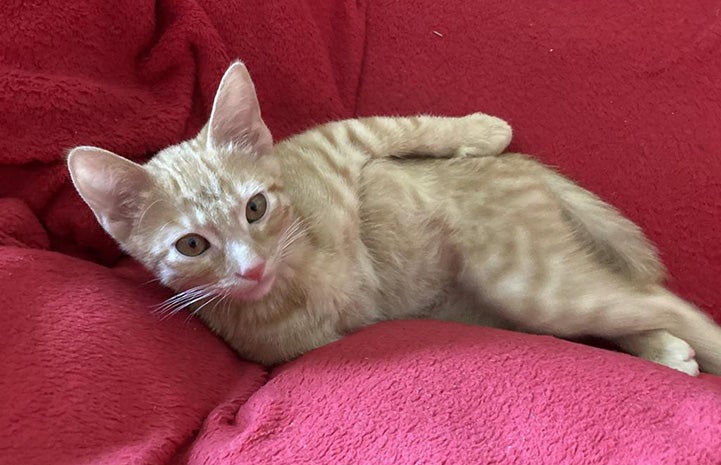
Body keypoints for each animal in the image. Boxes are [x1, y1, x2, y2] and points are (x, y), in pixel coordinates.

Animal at [67, 61, 720, 374]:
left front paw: (483, 128)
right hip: (514, 294)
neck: (296, 277)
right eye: (192, 246)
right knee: (630, 305)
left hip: (526, 279)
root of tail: (524, 169)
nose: (251, 270)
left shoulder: (337, 140)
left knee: (657, 300)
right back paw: (664, 348)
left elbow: (398, 125)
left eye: (255, 207)